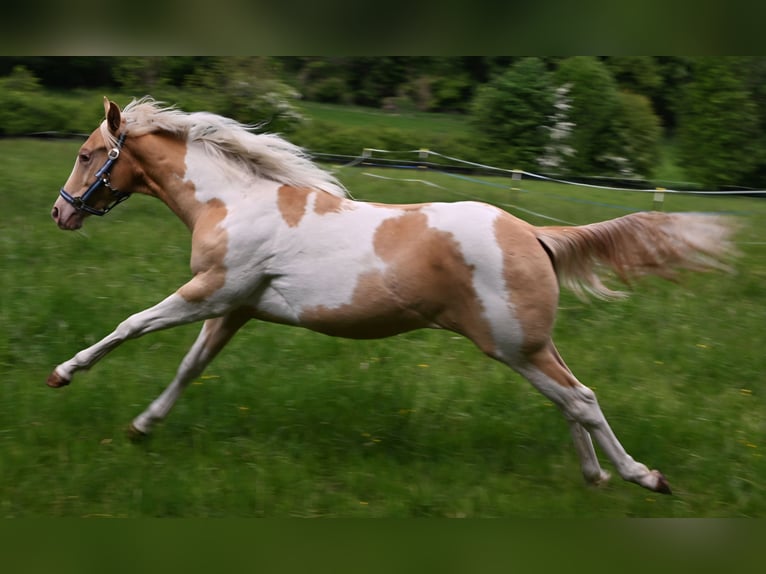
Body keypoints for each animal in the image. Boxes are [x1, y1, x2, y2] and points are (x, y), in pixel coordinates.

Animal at [49, 97, 736, 494]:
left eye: (86, 155)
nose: (60, 213)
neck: (234, 202)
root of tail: (537, 234)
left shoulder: (211, 293)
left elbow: (132, 323)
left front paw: (63, 374)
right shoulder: (236, 309)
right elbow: (190, 367)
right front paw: (143, 426)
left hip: (513, 345)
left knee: (583, 399)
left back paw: (642, 477)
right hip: (532, 344)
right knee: (570, 400)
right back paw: (593, 477)